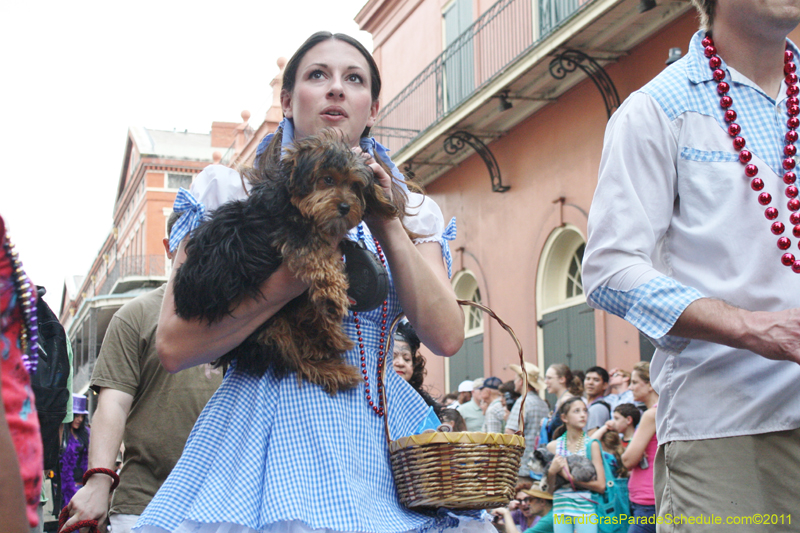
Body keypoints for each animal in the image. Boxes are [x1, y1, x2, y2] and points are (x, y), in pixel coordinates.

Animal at [173, 129, 400, 392]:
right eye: (328, 179)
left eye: (355, 186)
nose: (345, 207)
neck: (296, 203)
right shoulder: (293, 233)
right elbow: (319, 260)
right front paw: (333, 292)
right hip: (266, 328)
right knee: (295, 357)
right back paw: (335, 367)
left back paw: (331, 336)